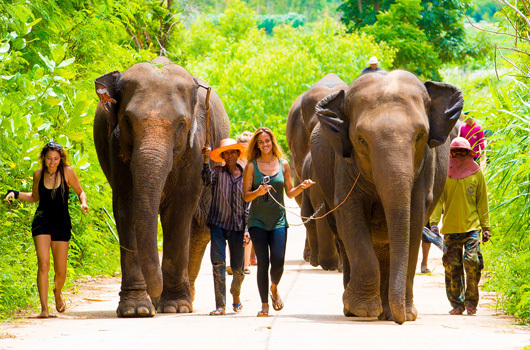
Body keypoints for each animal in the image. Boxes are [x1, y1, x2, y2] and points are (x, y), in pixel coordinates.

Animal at [93, 56, 229, 318]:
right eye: (127, 121)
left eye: (181, 123)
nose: (155, 289)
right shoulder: (116, 146)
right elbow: (127, 209)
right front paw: (136, 310)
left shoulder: (195, 148)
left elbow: (178, 212)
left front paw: (175, 306)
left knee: (201, 225)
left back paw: (185, 299)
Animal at [310, 69, 462, 324]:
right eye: (361, 139)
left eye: (421, 135)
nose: (401, 321)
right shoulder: (344, 165)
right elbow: (350, 216)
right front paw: (363, 311)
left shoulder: (426, 167)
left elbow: (414, 219)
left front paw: (405, 314)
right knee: (344, 238)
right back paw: (356, 310)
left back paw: (385, 311)